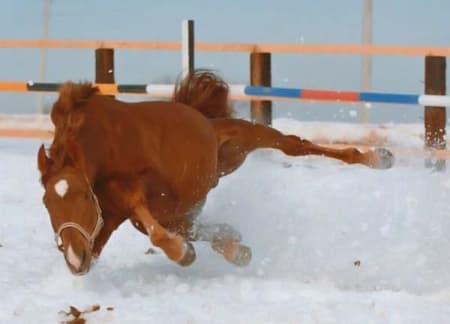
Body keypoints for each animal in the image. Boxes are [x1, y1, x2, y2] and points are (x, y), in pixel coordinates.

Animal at [38, 71, 392, 276]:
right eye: (46, 204)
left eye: (84, 196)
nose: (74, 259)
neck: (108, 148)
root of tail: (205, 119)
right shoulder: (115, 216)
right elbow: (160, 231)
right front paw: (226, 246)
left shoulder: (154, 198)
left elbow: (157, 230)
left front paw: (183, 253)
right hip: (228, 162)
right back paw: (234, 248)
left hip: (248, 137)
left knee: (295, 145)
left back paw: (379, 158)